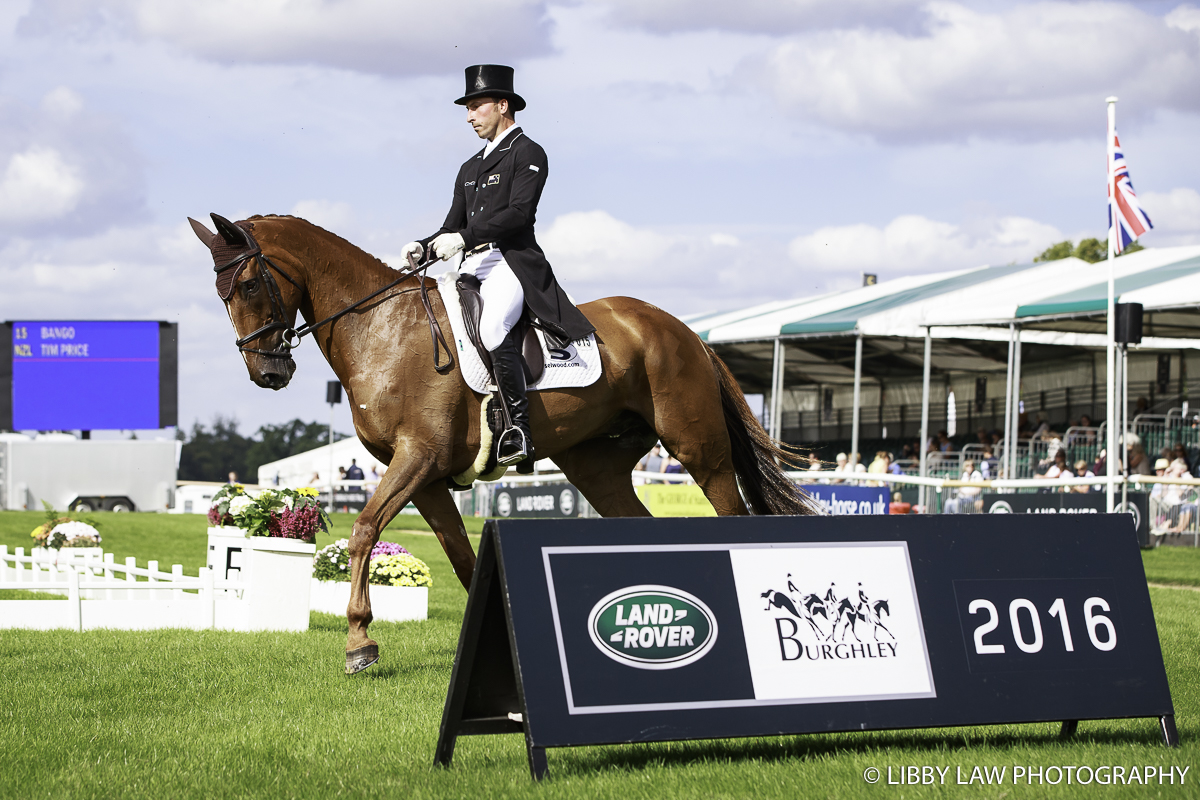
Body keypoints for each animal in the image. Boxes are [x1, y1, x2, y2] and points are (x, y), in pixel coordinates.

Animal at [189, 211, 816, 671]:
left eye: (249, 283)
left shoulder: (417, 459)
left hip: (698, 451)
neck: (381, 330)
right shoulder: (426, 478)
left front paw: (359, 643)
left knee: (729, 510)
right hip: (596, 466)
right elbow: (463, 561)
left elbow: (363, 529)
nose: (267, 372)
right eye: (220, 294)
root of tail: (685, 331)